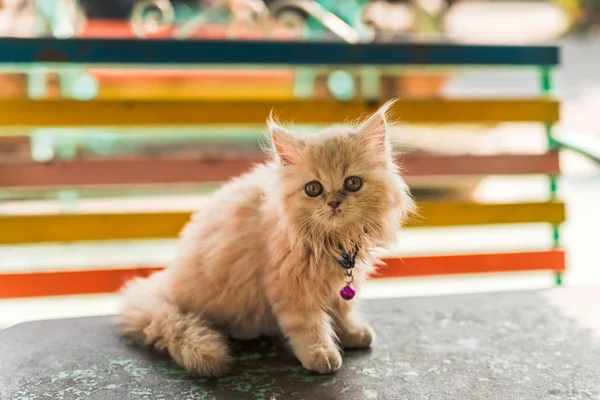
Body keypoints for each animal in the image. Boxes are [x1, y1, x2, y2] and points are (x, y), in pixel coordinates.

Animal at [119, 100, 414, 376]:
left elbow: (343, 309)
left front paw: (351, 333)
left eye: (353, 183)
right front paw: (321, 353)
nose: (333, 202)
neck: (334, 240)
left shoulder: (339, 283)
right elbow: (309, 326)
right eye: (313, 189)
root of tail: (164, 286)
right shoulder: (289, 286)